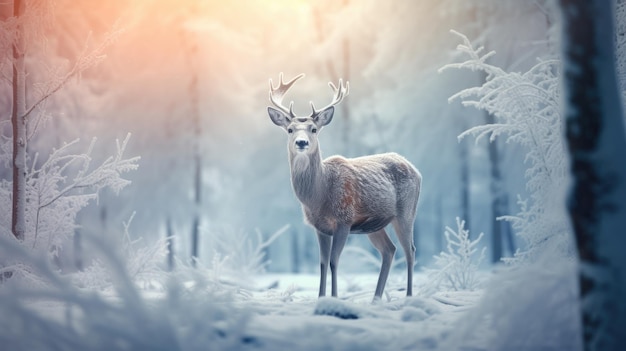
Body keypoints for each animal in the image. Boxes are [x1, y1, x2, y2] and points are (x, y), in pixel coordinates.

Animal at [266, 73, 422, 302]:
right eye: (290, 129)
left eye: (314, 129)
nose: (301, 142)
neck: (319, 195)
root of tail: (415, 169)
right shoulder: (320, 227)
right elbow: (322, 264)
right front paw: (321, 298)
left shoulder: (344, 220)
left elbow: (333, 261)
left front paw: (334, 298)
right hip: (375, 225)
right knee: (389, 250)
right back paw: (375, 299)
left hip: (406, 212)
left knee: (410, 250)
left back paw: (409, 297)